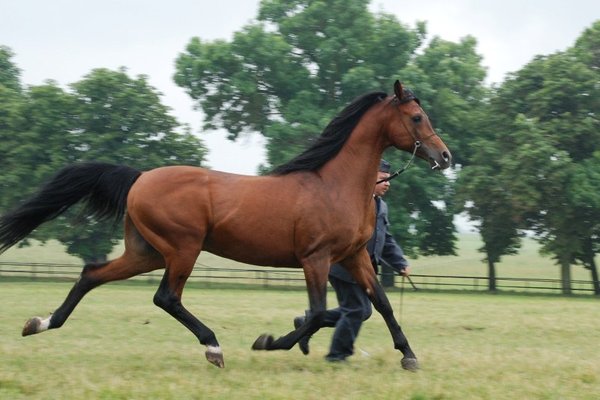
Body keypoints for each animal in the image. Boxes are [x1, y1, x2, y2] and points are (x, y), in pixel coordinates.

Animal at [0, 79, 450, 370]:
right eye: (416, 117)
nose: (444, 156)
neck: (333, 184)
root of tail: (140, 178)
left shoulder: (354, 257)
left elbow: (381, 304)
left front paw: (409, 355)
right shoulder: (316, 259)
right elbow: (320, 312)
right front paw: (270, 342)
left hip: (146, 252)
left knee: (92, 274)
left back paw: (40, 323)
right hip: (182, 249)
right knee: (166, 298)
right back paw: (213, 347)